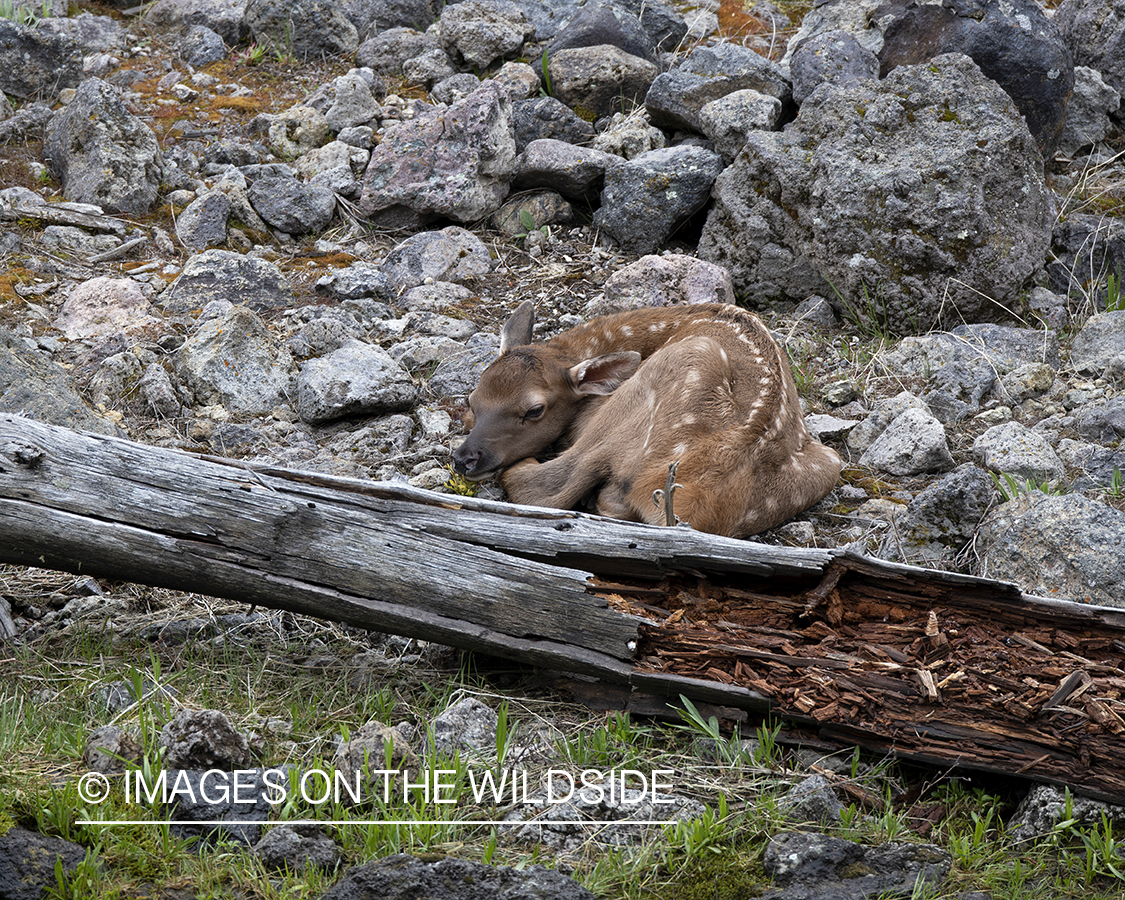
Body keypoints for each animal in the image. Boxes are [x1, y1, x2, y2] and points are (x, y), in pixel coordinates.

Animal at [452, 301, 841, 542]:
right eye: (472, 399)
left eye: (534, 410)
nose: (465, 457)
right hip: (831, 462)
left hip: (666, 378)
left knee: (549, 484)